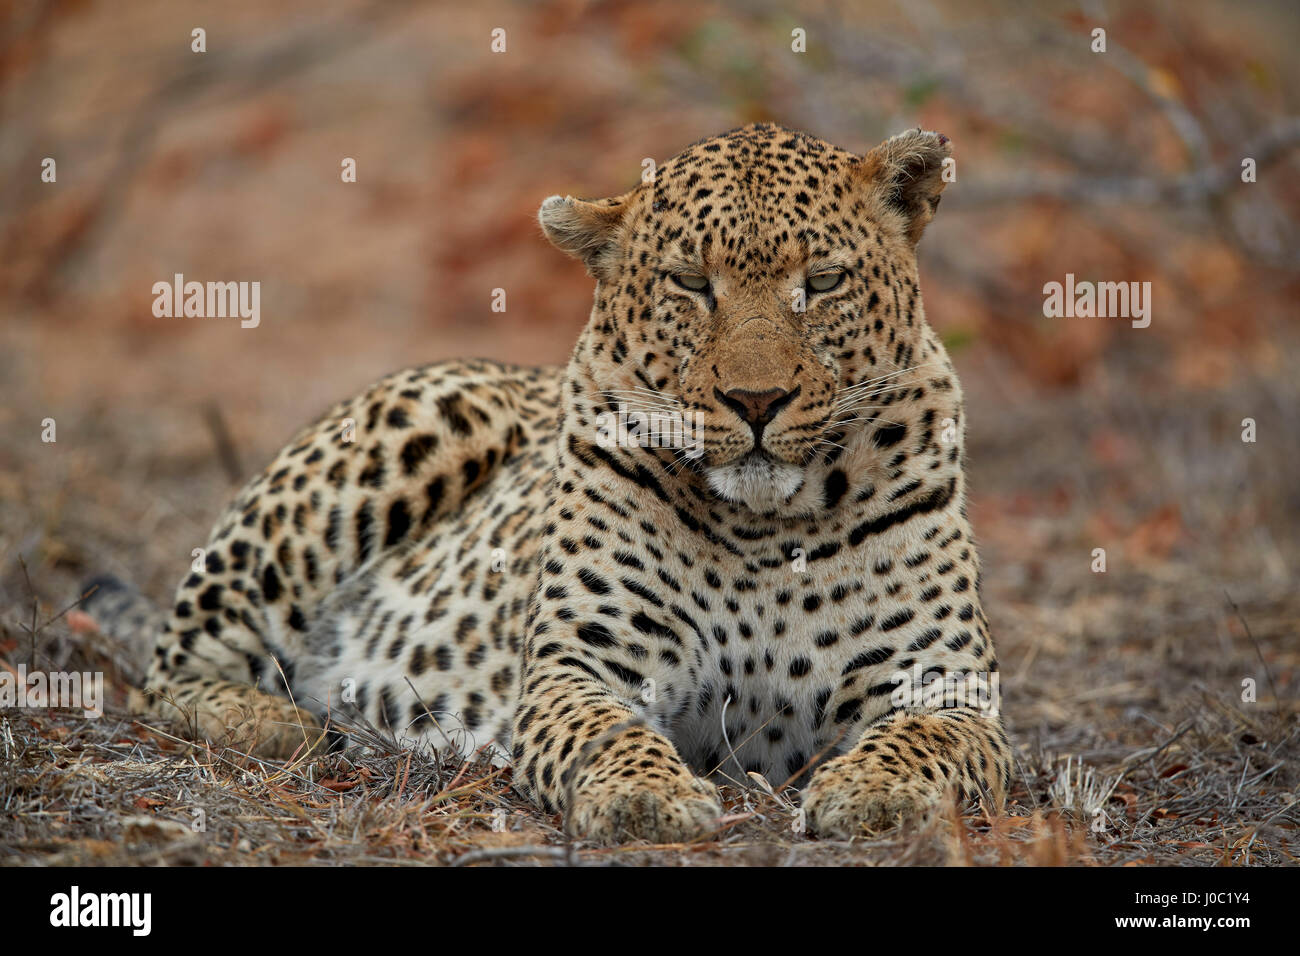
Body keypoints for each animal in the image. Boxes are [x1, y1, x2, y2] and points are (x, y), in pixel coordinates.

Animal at [83, 123, 1013, 843]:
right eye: (690, 283)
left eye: (822, 283)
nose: (755, 400)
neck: (765, 529)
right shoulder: (583, 667)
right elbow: (607, 736)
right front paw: (648, 797)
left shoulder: (946, 684)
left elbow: (922, 742)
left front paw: (874, 791)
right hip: (401, 440)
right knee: (173, 665)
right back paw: (277, 719)